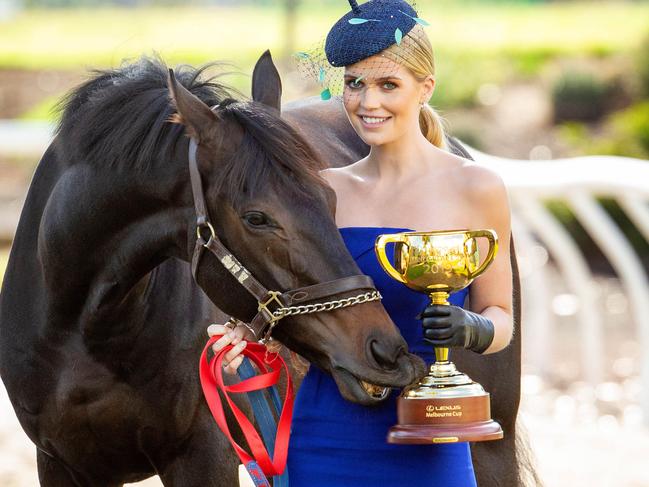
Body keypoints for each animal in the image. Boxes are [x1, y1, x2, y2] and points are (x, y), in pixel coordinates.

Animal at [0, 51, 536, 486]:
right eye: (257, 217)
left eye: (331, 198)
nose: (387, 353)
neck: (85, 328)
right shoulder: (60, 464)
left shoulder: (204, 456)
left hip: (492, 444)